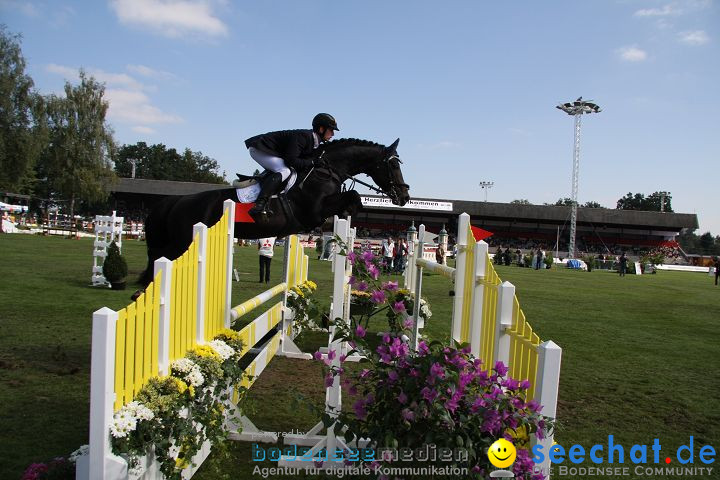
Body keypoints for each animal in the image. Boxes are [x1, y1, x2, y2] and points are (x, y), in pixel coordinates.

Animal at [138, 137, 410, 286]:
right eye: (393, 165)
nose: (405, 197)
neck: (326, 169)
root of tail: (174, 202)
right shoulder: (313, 212)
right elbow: (352, 200)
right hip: (181, 242)